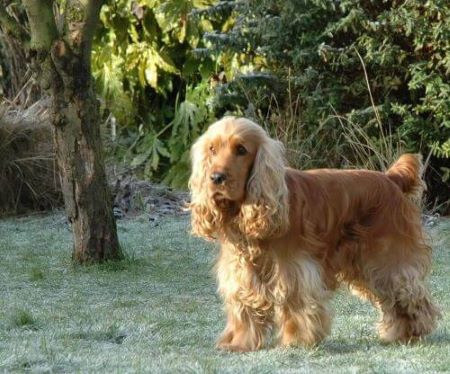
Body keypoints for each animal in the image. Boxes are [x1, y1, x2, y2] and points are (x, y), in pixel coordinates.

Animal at [188, 116, 442, 350]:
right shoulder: (240, 270)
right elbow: (244, 306)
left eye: (241, 150)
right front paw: (239, 342)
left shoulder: (294, 269)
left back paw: (413, 332)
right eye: (212, 149)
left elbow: (296, 303)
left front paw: (296, 340)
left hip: (386, 258)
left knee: (410, 293)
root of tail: (391, 179)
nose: (216, 178)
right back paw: (401, 334)